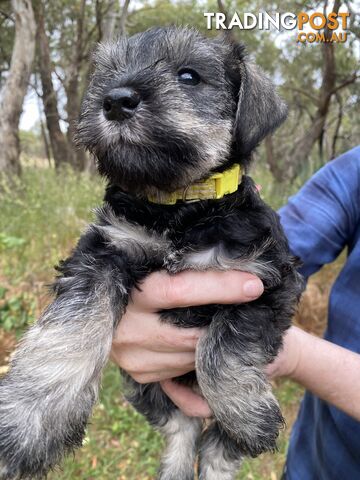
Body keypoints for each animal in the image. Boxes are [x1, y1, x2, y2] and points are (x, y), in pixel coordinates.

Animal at [0, 27, 304, 480]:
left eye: (189, 75)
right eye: (109, 72)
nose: (115, 100)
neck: (178, 205)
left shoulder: (266, 278)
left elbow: (222, 346)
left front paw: (246, 413)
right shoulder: (104, 251)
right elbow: (69, 331)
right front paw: (26, 419)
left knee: (217, 446)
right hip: (143, 385)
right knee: (183, 427)